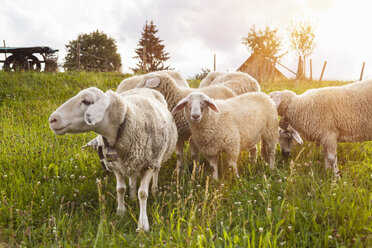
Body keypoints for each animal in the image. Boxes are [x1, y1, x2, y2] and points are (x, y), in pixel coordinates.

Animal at [49, 86, 177, 231]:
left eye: (87, 101)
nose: (52, 119)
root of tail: (143, 87)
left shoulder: (149, 163)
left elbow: (143, 193)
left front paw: (143, 224)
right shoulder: (116, 166)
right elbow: (120, 189)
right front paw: (121, 211)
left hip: (158, 157)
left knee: (156, 172)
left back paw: (154, 189)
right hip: (132, 161)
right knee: (132, 177)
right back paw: (132, 194)